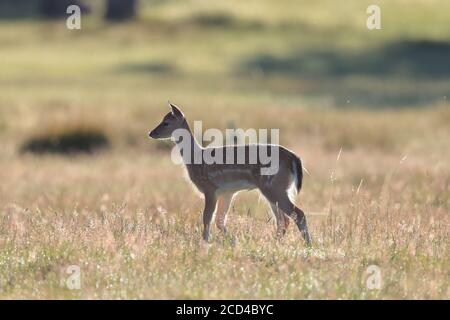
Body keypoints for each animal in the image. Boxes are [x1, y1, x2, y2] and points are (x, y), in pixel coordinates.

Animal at [149, 102, 312, 245]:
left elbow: (207, 218)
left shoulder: (210, 188)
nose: (151, 133)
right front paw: (234, 241)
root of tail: (294, 158)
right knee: (283, 220)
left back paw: (308, 245)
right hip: (275, 189)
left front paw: (204, 243)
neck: (195, 160)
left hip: (273, 186)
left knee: (298, 214)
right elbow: (220, 221)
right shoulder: (226, 192)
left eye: (166, 122)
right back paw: (275, 243)